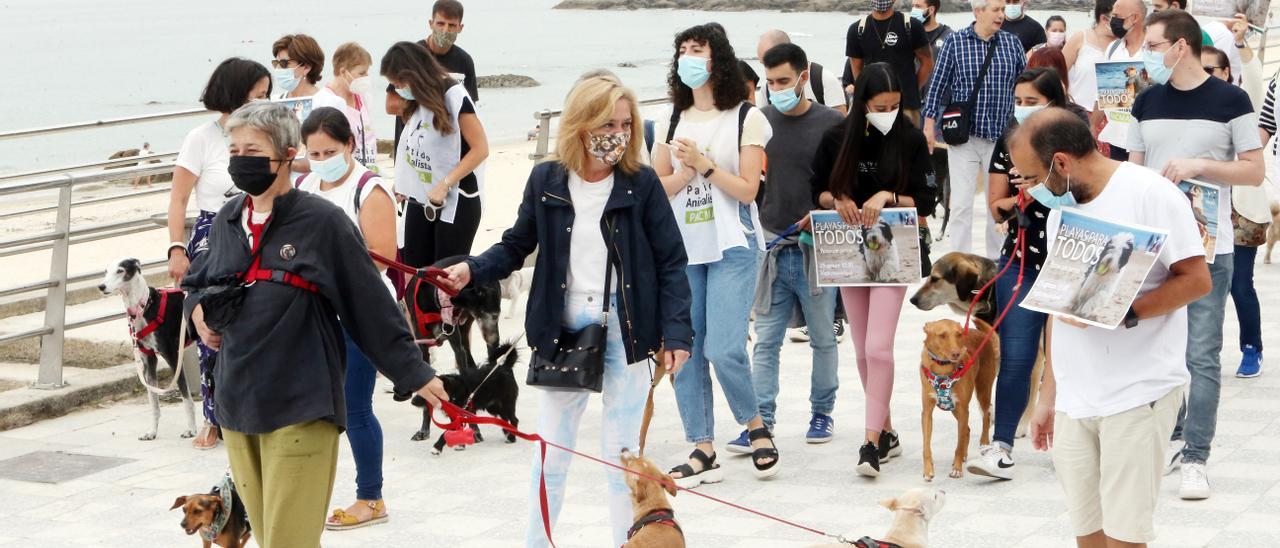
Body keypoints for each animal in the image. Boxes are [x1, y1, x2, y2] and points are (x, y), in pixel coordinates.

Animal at [921, 316, 998, 478]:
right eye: (942, 335)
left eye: (959, 334)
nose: (957, 353)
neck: (942, 368)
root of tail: (981, 334)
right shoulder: (927, 412)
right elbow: (926, 446)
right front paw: (928, 470)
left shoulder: (963, 409)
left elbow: (959, 443)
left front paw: (956, 469)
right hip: (953, 408)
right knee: (967, 430)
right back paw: (964, 455)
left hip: (983, 390)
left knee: (986, 415)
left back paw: (984, 441)